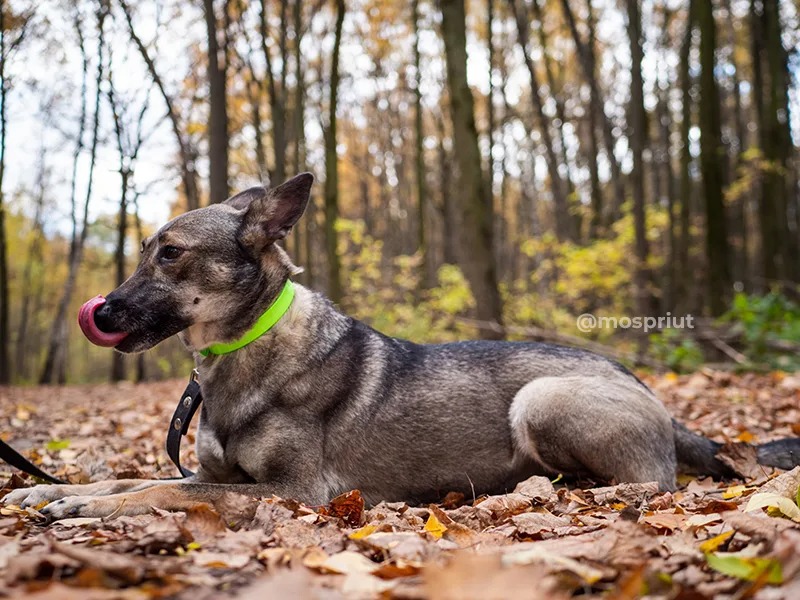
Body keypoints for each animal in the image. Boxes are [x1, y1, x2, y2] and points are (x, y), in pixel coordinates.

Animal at [3, 171, 796, 516]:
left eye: (169, 255)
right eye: (147, 251)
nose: (102, 312)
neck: (244, 346)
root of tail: (646, 389)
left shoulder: (295, 494)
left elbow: (160, 492)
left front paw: (85, 508)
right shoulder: (218, 474)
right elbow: (135, 480)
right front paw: (58, 492)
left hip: (542, 400)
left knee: (648, 483)